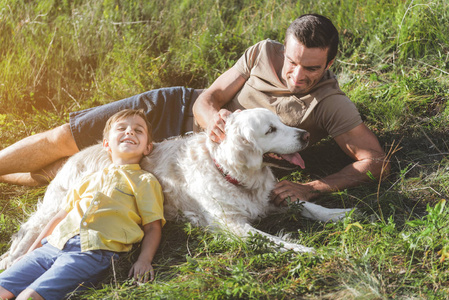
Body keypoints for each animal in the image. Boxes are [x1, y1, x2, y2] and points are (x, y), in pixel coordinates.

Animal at [0, 109, 352, 268]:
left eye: (280, 121)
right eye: (270, 130)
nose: (305, 135)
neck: (230, 173)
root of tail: (74, 156)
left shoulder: (266, 198)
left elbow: (306, 205)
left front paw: (339, 214)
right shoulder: (233, 226)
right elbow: (274, 241)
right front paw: (305, 250)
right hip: (57, 207)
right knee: (26, 237)